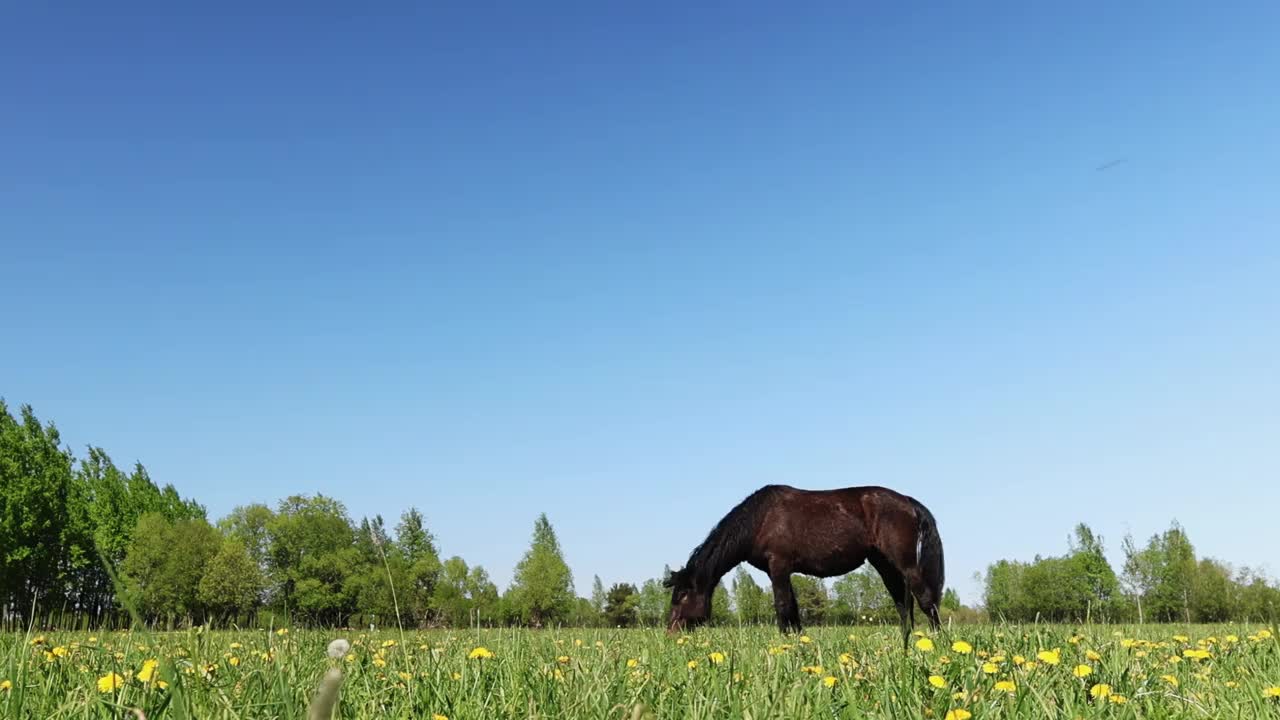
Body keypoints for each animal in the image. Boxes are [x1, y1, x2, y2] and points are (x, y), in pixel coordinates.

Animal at [665, 481, 947, 645]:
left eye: (682, 596)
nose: (670, 634)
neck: (760, 519)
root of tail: (908, 502)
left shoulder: (779, 566)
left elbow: (782, 607)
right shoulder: (779, 571)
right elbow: (793, 610)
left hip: (905, 563)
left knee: (925, 600)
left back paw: (936, 641)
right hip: (884, 563)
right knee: (902, 602)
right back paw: (906, 642)